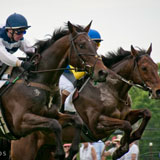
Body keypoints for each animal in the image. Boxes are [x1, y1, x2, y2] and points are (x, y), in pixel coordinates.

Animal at [0, 21, 108, 160]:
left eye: (95, 45)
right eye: (81, 45)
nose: (102, 72)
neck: (38, 80)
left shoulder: (54, 114)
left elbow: (77, 121)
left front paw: (71, 152)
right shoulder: (20, 122)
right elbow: (54, 125)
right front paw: (60, 153)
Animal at [10, 44, 160, 160]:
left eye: (155, 66)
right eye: (144, 68)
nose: (158, 91)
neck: (111, 90)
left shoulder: (125, 115)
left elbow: (146, 113)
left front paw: (127, 141)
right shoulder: (96, 124)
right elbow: (127, 125)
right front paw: (120, 149)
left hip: (46, 150)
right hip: (24, 151)